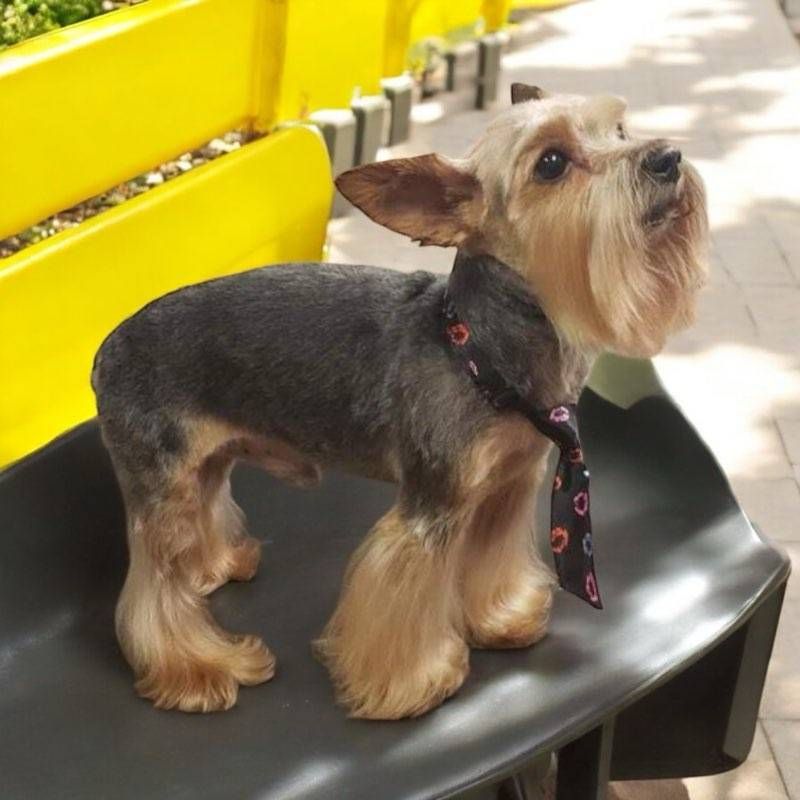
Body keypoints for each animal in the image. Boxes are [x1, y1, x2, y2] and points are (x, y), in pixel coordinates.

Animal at [92, 86, 708, 720]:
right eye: (552, 163)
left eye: (619, 130)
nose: (667, 158)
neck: (478, 349)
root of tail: (106, 351)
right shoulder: (431, 505)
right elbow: (403, 595)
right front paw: (413, 685)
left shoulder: (508, 488)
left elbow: (491, 561)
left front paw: (502, 620)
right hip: (161, 482)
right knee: (152, 591)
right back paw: (201, 668)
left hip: (205, 464)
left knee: (200, 519)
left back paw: (214, 566)